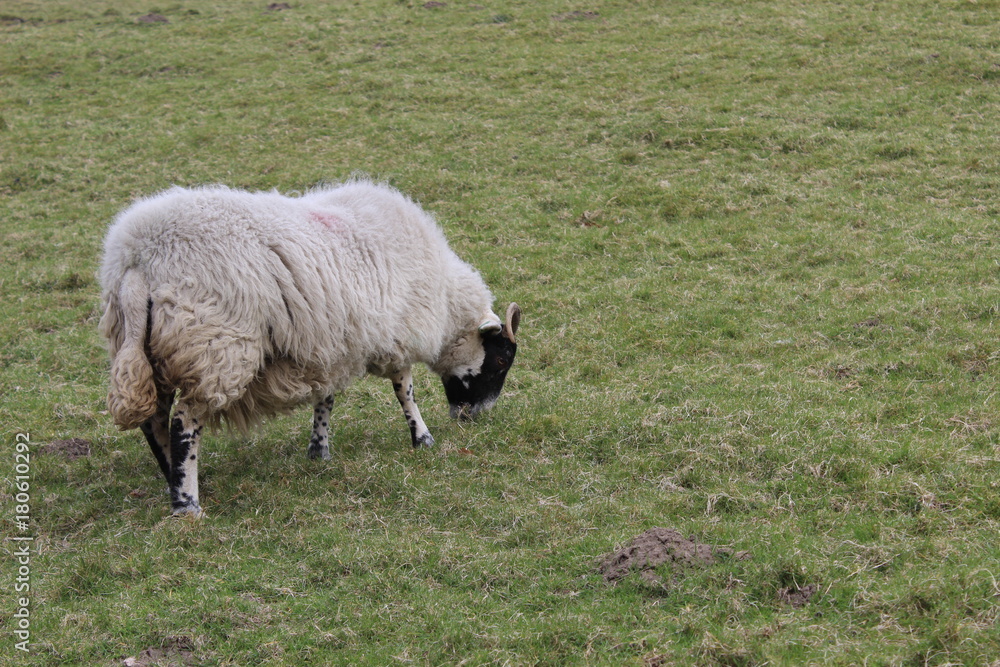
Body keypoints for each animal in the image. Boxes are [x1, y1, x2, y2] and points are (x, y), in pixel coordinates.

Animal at [99, 180, 521, 517]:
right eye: (501, 360)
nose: (475, 416)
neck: (445, 300)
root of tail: (138, 261)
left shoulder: (331, 345)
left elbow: (325, 399)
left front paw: (319, 451)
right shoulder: (395, 334)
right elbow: (406, 391)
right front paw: (423, 439)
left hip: (147, 347)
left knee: (154, 420)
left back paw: (171, 477)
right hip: (215, 345)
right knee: (182, 422)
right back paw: (187, 504)